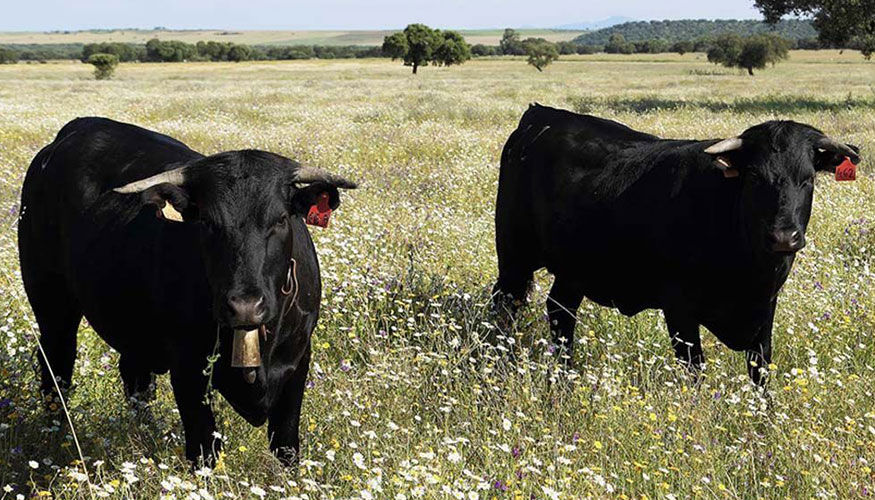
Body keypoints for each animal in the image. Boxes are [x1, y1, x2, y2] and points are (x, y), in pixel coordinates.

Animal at [16, 118, 356, 464]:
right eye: (206, 222)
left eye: (280, 219)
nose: (245, 306)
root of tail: (78, 128)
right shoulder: (188, 370)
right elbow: (204, 450)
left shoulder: (297, 363)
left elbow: (286, 447)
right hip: (52, 303)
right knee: (57, 363)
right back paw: (56, 432)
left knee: (134, 375)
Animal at [496, 103, 860, 384]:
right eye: (755, 177)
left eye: (808, 179)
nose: (784, 236)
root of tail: (541, 115)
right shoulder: (679, 308)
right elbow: (694, 371)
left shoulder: (765, 308)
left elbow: (760, 371)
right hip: (513, 258)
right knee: (505, 307)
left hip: (573, 271)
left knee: (561, 310)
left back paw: (564, 377)